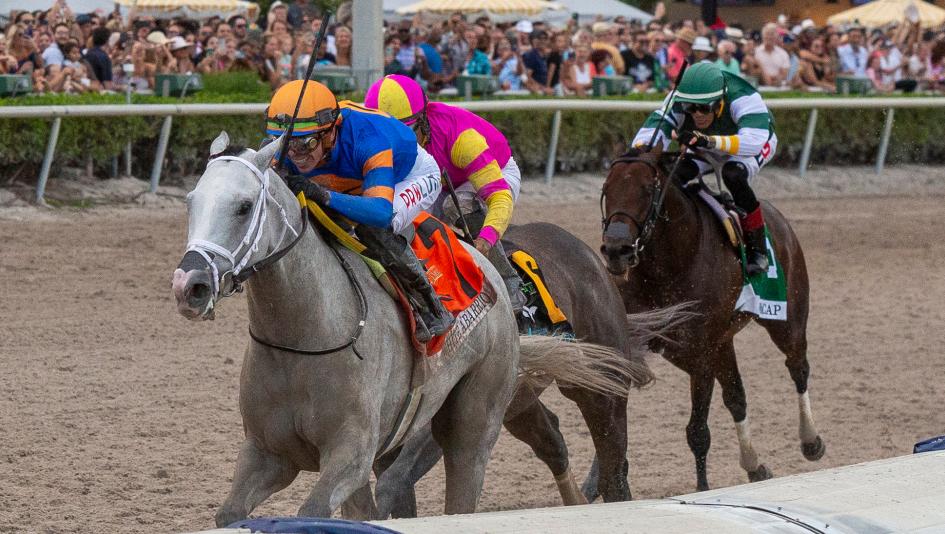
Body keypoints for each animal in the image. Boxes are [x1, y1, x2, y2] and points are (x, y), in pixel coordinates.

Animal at [172, 132, 640, 525]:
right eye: (191, 202)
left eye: (243, 206)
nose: (189, 286)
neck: (304, 336)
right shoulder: (268, 453)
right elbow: (231, 513)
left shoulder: (351, 453)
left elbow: (319, 508)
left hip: (481, 417)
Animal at [599, 145, 826, 492]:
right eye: (606, 189)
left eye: (647, 190)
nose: (616, 250)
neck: (675, 259)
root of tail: (779, 219)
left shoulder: (701, 354)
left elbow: (697, 432)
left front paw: (703, 488)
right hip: (723, 342)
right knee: (737, 397)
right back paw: (754, 464)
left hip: (788, 319)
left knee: (798, 367)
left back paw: (811, 440)